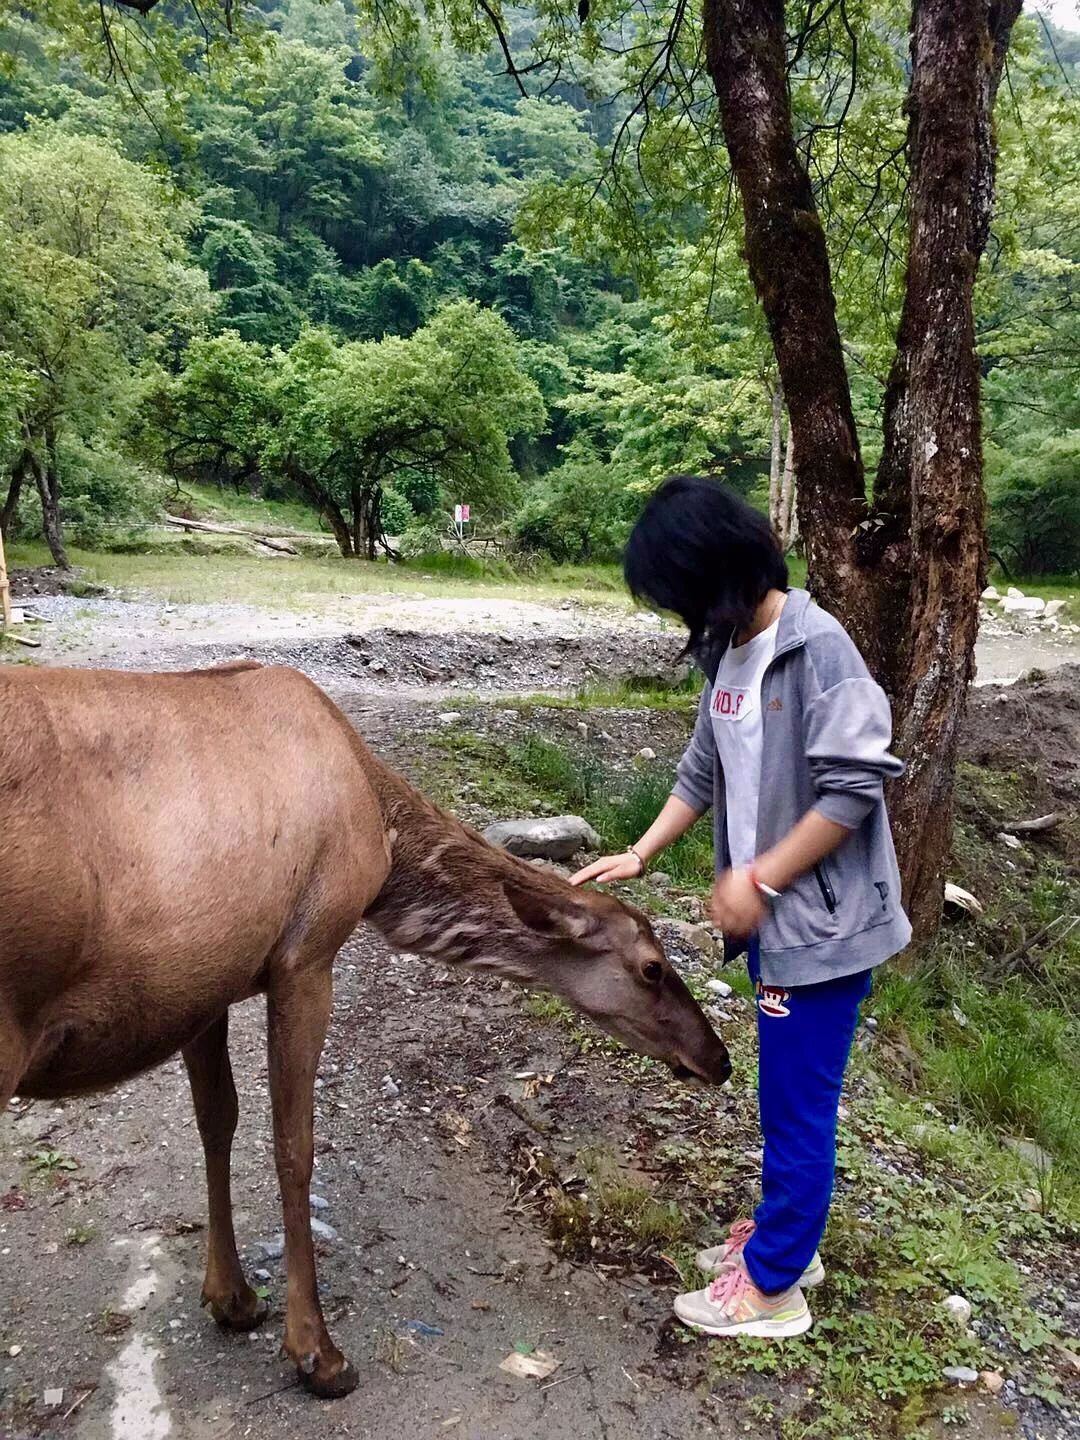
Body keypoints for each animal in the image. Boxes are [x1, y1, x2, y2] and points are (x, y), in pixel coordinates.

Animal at [2, 659, 737, 1393]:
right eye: (650, 967)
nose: (719, 1059)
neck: (383, 841)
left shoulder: (204, 982)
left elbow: (217, 1121)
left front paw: (232, 1298)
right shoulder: (306, 954)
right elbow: (293, 1147)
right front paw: (315, 1350)